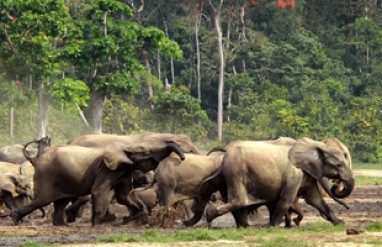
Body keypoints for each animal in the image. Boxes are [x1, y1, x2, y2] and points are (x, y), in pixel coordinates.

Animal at [10, 136, 187, 227]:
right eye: (144, 152)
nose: (183, 158)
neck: (121, 146)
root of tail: (35, 159)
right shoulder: (106, 169)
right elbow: (99, 191)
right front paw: (99, 225)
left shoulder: (122, 171)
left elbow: (124, 196)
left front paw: (140, 219)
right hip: (47, 176)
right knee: (43, 199)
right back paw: (15, 219)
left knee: (61, 200)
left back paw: (62, 225)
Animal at [201, 136, 354, 227]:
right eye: (339, 164)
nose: (336, 184)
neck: (316, 144)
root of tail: (224, 154)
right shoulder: (294, 172)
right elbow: (287, 198)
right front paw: (272, 226)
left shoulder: (306, 174)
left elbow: (315, 200)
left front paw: (340, 223)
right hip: (235, 171)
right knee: (240, 201)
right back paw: (211, 215)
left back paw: (244, 226)